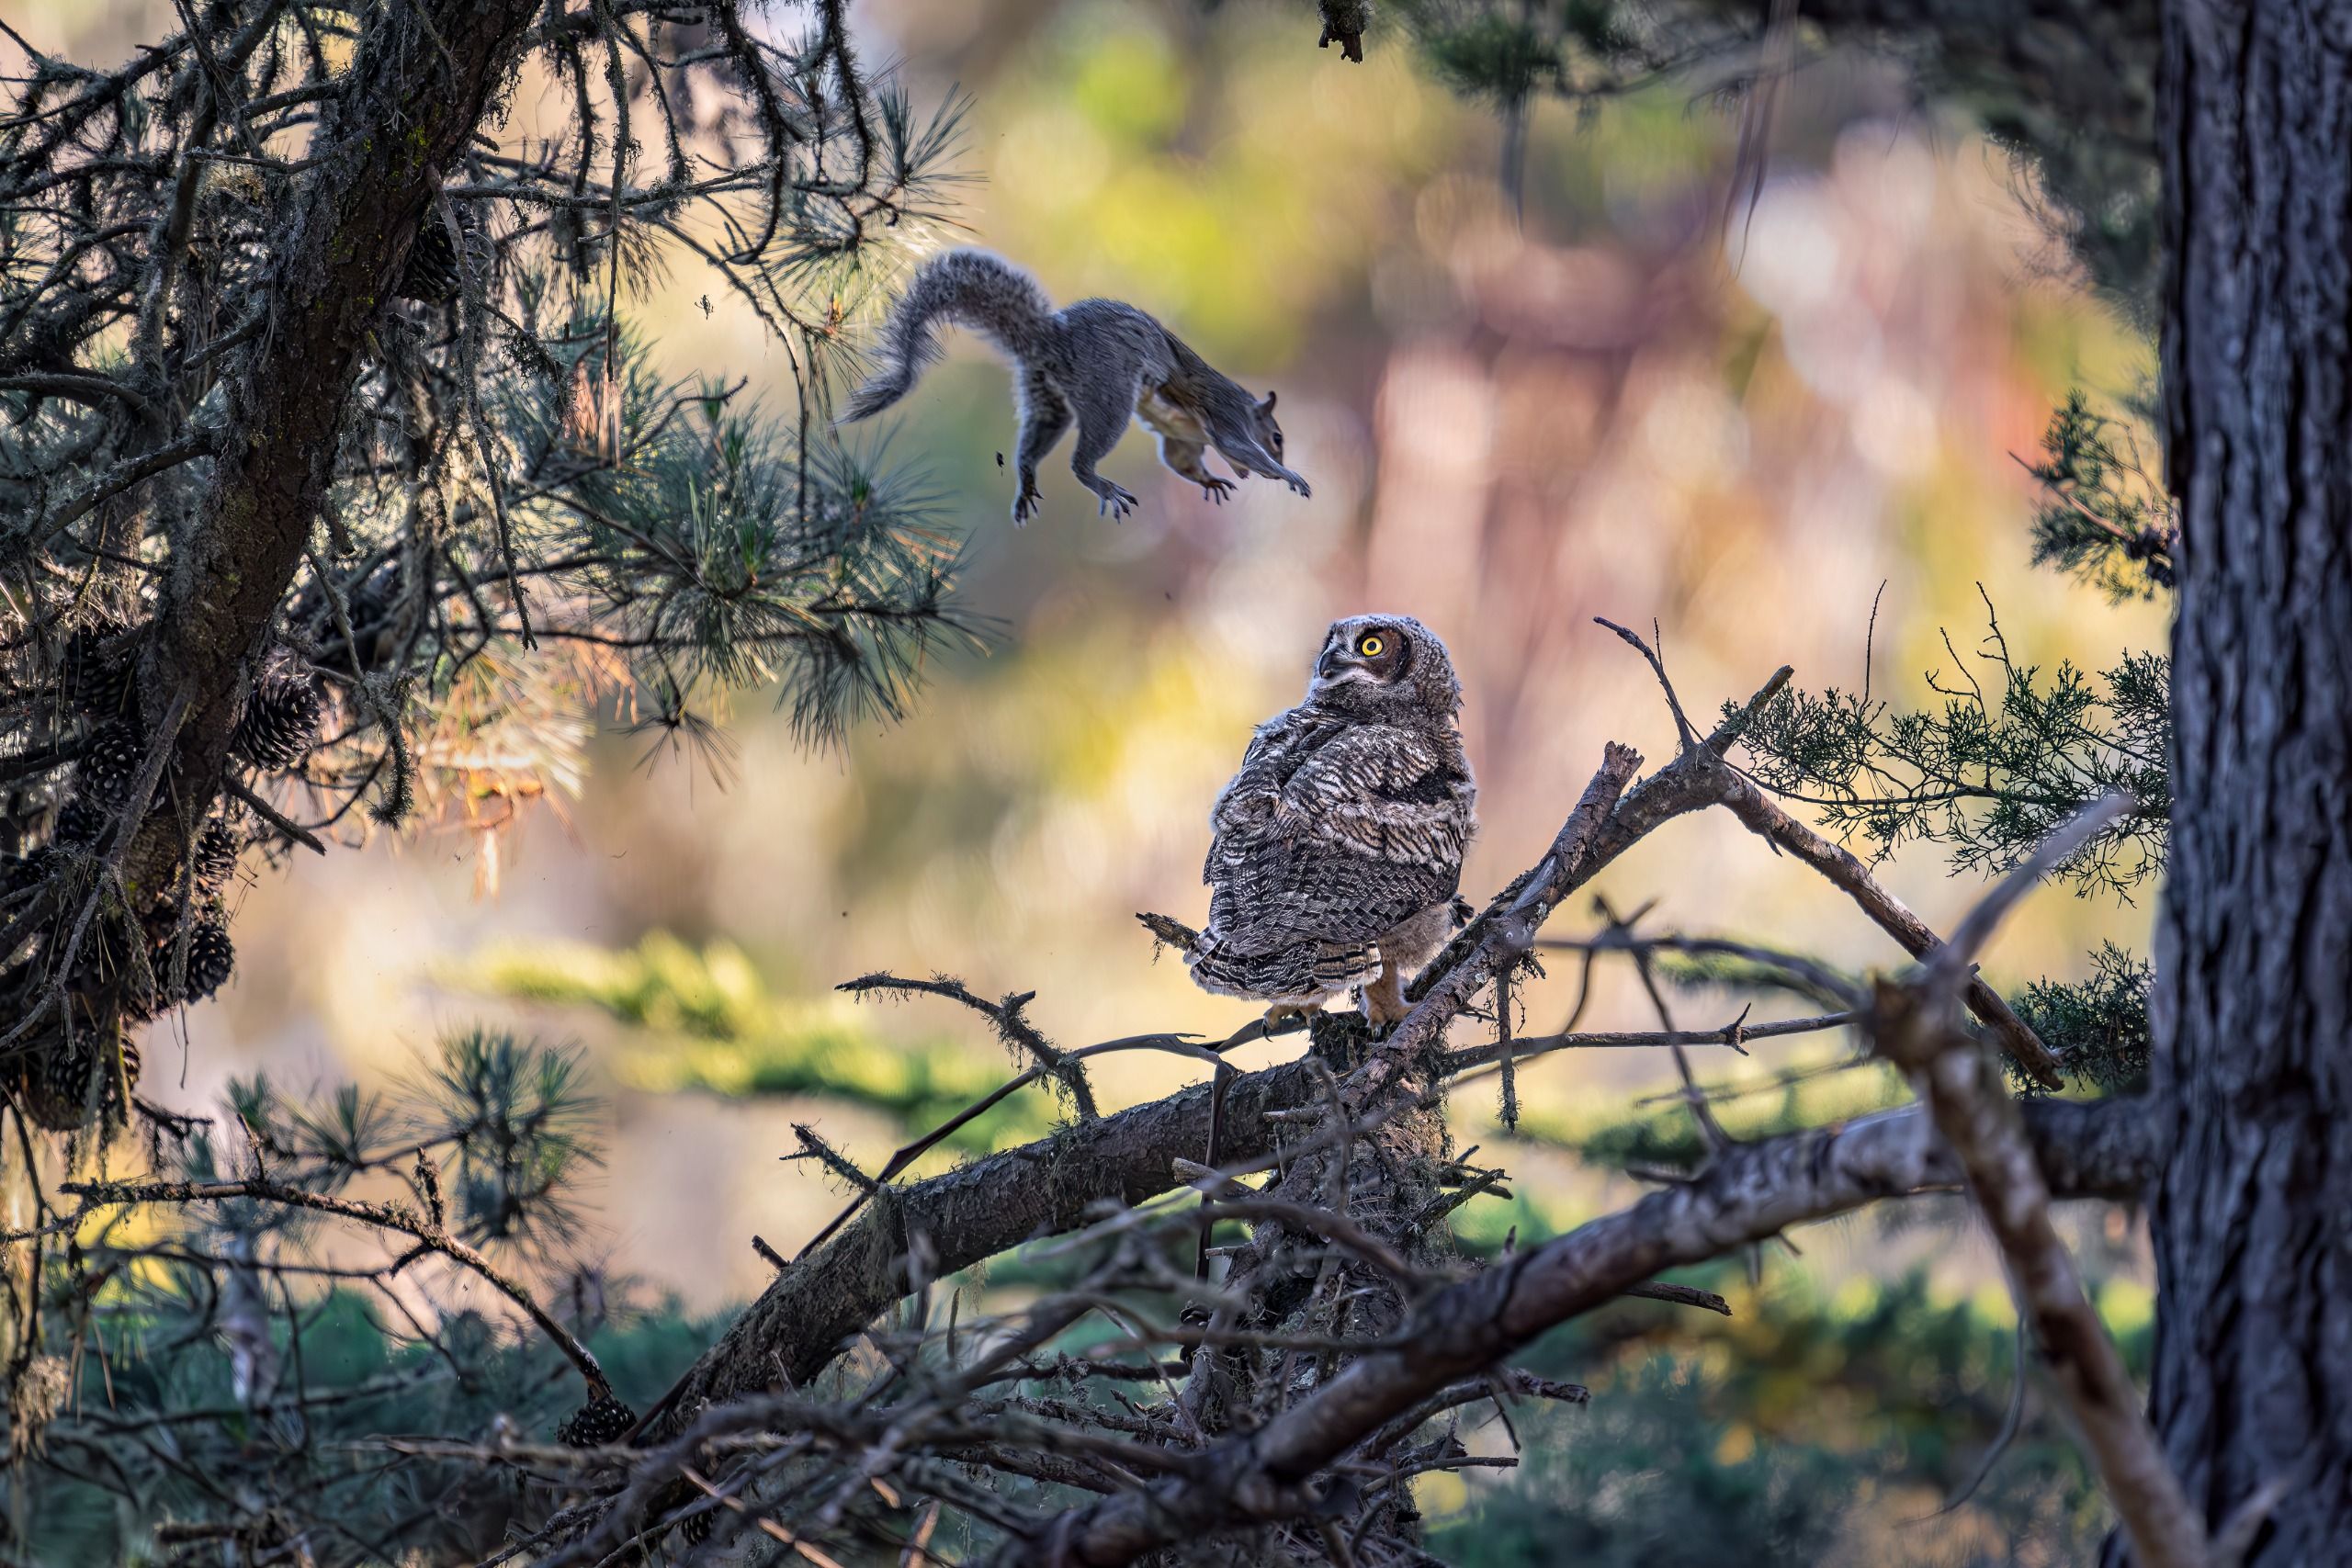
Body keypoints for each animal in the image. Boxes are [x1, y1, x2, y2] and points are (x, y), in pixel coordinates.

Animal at [838, 248, 1311, 523]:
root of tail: (1051, 340)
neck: (1244, 406)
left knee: (1032, 445)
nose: (1280, 456)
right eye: (1277, 437)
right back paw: (1101, 485)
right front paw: (1290, 475)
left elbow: (1182, 461)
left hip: (1046, 399)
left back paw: (1026, 483)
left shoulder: (1184, 439)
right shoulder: (1226, 415)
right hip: (1110, 399)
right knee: (1081, 461)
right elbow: (1235, 446)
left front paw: (1211, 481)